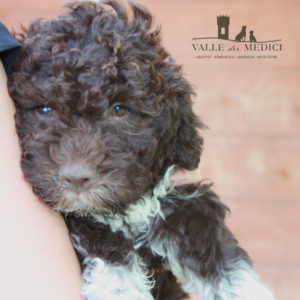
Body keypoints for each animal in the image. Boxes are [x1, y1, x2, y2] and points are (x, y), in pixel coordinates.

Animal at [7, 0, 276, 300]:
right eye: (44, 109)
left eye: (119, 109)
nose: (76, 178)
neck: (126, 207)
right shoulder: (81, 219)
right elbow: (103, 244)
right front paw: (121, 287)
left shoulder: (181, 198)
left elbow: (222, 257)